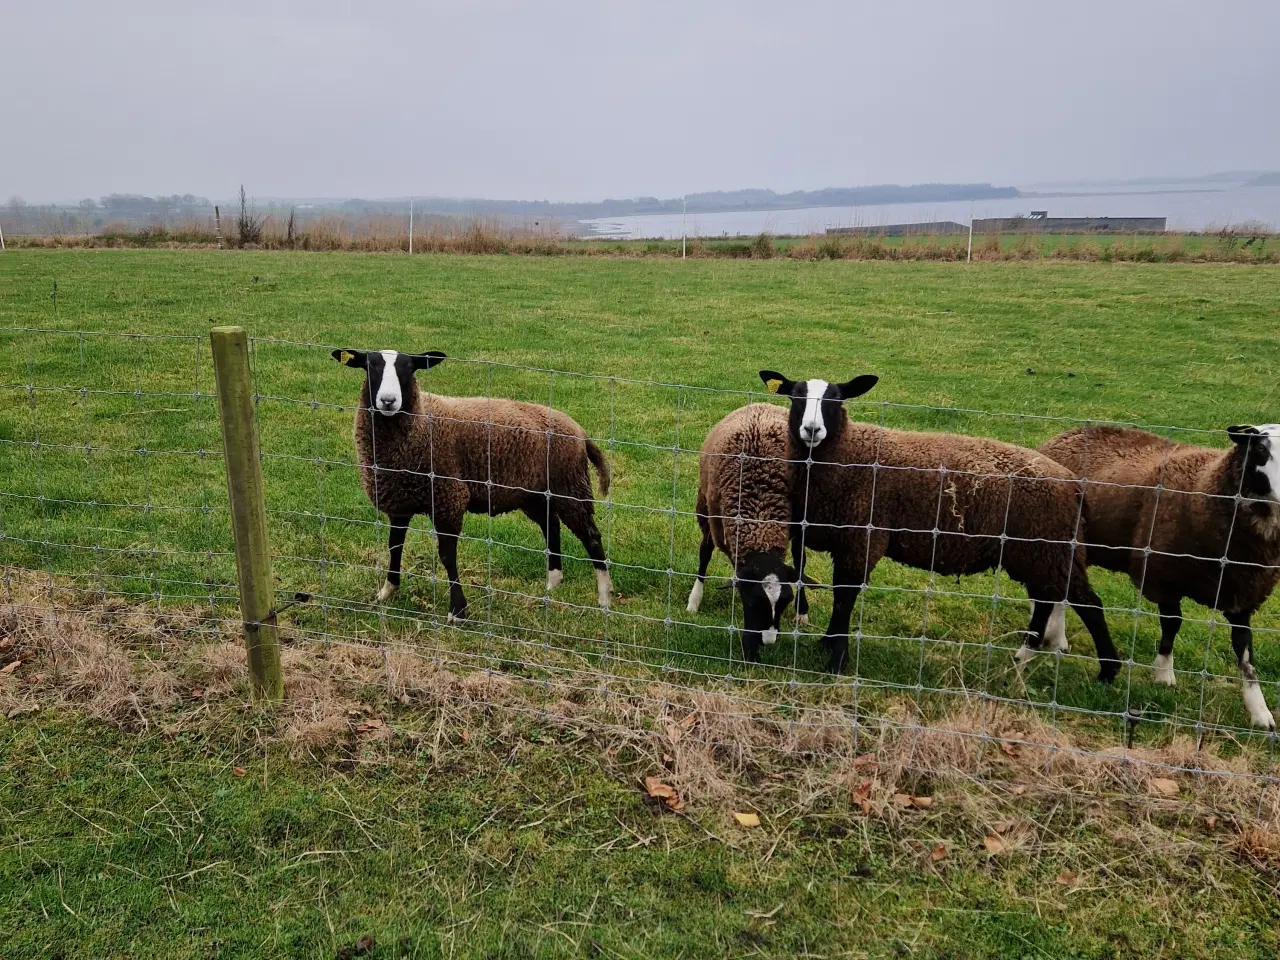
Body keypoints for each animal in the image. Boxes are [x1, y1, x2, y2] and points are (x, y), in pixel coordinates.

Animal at [327, 350, 611, 619]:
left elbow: (446, 555)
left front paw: (457, 610)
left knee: (591, 536)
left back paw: (604, 597)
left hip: (570, 487)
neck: (422, 423)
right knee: (551, 526)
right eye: (370, 365)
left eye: (409, 367)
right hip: (536, 494)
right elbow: (394, 547)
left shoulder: (448, 498)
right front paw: (387, 592)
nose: (388, 400)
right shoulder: (400, 502)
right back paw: (553, 584)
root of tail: (580, 432)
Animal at [691, 401, 808, 665]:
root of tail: (760, 404)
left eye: (785, 601)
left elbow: (799, 562)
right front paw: (749, 648)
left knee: (799, 557)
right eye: (753, 603)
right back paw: (694, 599)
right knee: (705, 550)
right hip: (705, 508)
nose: (769, 641)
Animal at [1039, 424, 1280, 732]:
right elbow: (1172, 624)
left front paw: (1260, 712)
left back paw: (1057, 638)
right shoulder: (1163, 575)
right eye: (1260, 449)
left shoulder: (1242, 594)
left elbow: (1245, 651)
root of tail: (1067, 433)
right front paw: (1164, 674)